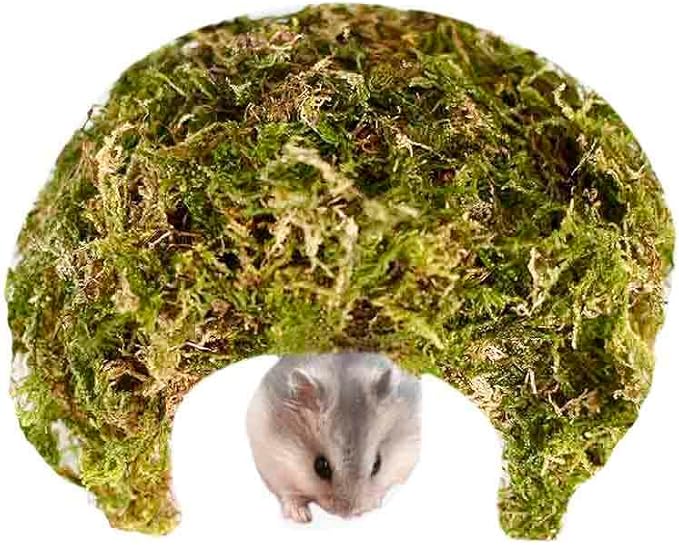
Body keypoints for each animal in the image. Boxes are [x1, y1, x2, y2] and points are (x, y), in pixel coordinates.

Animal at [245, 351, 422, 523]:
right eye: (320, 466)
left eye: (377, 464)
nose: (349, 516)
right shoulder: (275, 466)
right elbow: (289, 494)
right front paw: (303, 517)